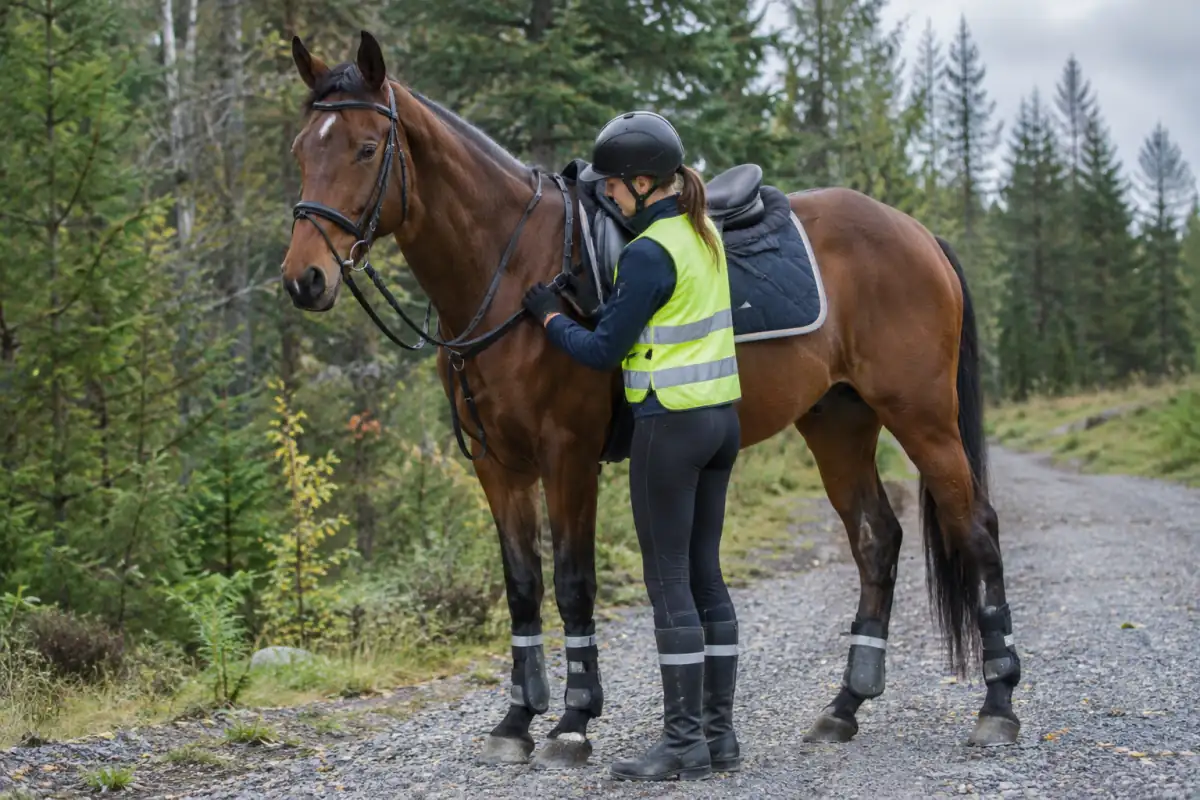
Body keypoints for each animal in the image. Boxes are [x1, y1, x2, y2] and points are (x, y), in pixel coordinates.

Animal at [280, 31, 1023, 768]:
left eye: (366, 148)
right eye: (301, 151)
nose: (303, 279)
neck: (512, 267)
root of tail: (915, 232)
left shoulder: (568, 455)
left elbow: (572, 583)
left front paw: (574, 720)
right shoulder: (497, 465)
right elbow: (522, 587)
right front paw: (516, 719)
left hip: (923, 418)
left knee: (976, 530)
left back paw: (997, 705)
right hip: (837, 421)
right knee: (875, 539)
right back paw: (844, 707)